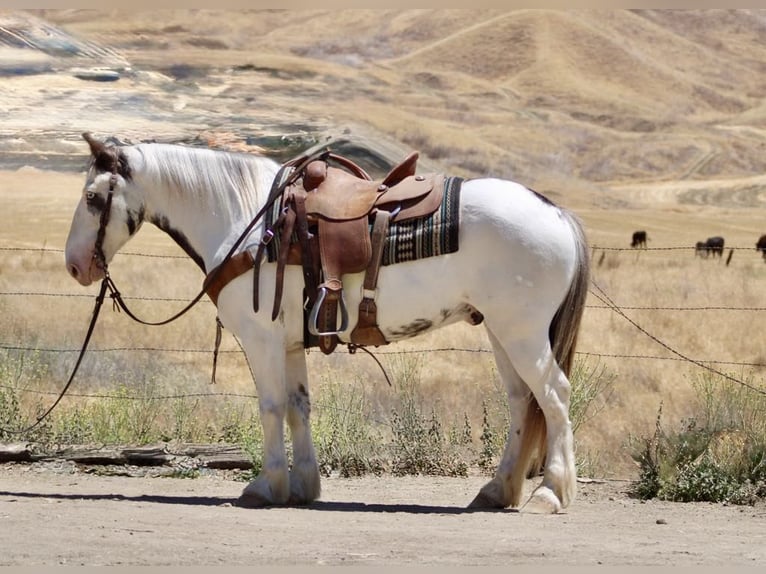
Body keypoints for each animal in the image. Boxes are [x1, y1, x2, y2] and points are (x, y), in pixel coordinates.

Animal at [64, 133, 590, 514]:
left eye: (91, 198)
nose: (75, 266)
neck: (247, 221)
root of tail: (557, 213)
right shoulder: (291, 344)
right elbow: (299, 407)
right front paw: (303, 485)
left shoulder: (261, 340)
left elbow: (271, 406)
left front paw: (268, 485)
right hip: (502, 332)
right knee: (522, 402)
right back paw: (498, 491)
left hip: (522, 333)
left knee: (554, 396)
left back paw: (550, 494)